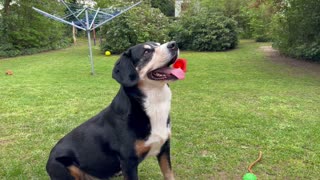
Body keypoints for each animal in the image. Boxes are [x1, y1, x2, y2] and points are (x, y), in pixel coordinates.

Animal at [45, 41, 185, 180]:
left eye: (158, 43)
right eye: (146, 52)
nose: (174, 44)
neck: (155, 104)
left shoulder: (164, 148)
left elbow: (169, 174)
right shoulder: (128, 161)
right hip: (65, 166)